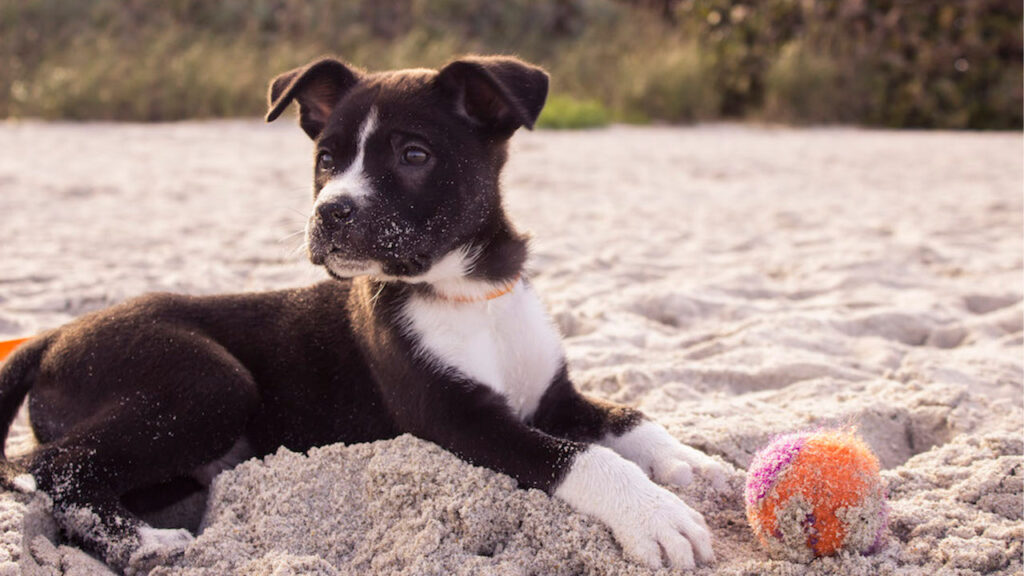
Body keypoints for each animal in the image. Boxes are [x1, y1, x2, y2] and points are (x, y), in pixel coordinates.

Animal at [0, 54, 724, 569]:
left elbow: (628, 417)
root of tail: (55, 336)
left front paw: (692, 462)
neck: (467, 292)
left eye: (414, 155)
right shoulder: (456, 418)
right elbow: (579, 457)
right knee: (51, 468)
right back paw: (146, 545)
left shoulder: (552, 395)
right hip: (208, 381)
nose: (330, 213)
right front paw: (655, 515)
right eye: (326, 159)